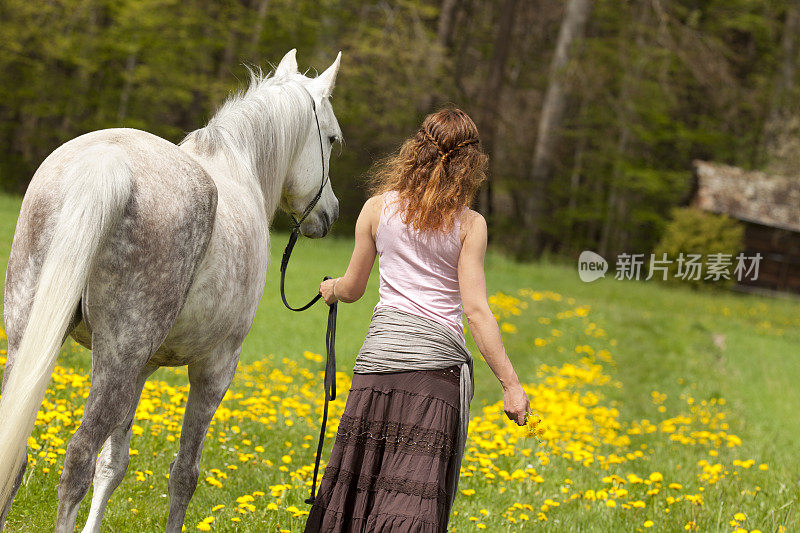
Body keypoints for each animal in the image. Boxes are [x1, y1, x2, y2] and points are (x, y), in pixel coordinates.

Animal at [0, 50, 340, 532]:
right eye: (331, 138)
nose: (329, 213)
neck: (240, 167)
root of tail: (105, 164)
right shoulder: (214, 371)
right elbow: (184, 475)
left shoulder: (142, 369)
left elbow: (114, 465)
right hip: (116, 361)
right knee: (78, 458)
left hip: (31, 340)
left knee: (19, 451)